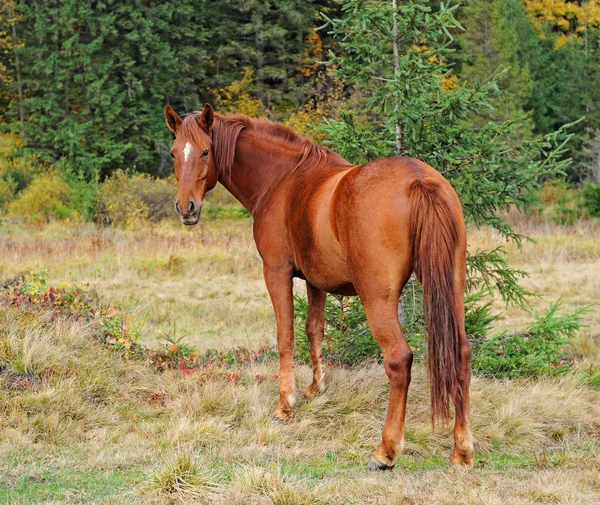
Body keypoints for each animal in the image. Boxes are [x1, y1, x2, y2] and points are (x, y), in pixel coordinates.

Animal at [164, 102, 474, 468]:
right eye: (173, 153)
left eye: (205, 151)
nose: (186, 208)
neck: (282, 179)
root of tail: (417, 179)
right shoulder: (317, 281)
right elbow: (315, 329)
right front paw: (316, 389)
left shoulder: (276, 272)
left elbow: (285, 335)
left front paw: (285, 405)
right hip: (452, 288)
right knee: (462, 353)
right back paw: (462, 450)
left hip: (377, 298)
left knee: (399, 359)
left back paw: (385, 450)